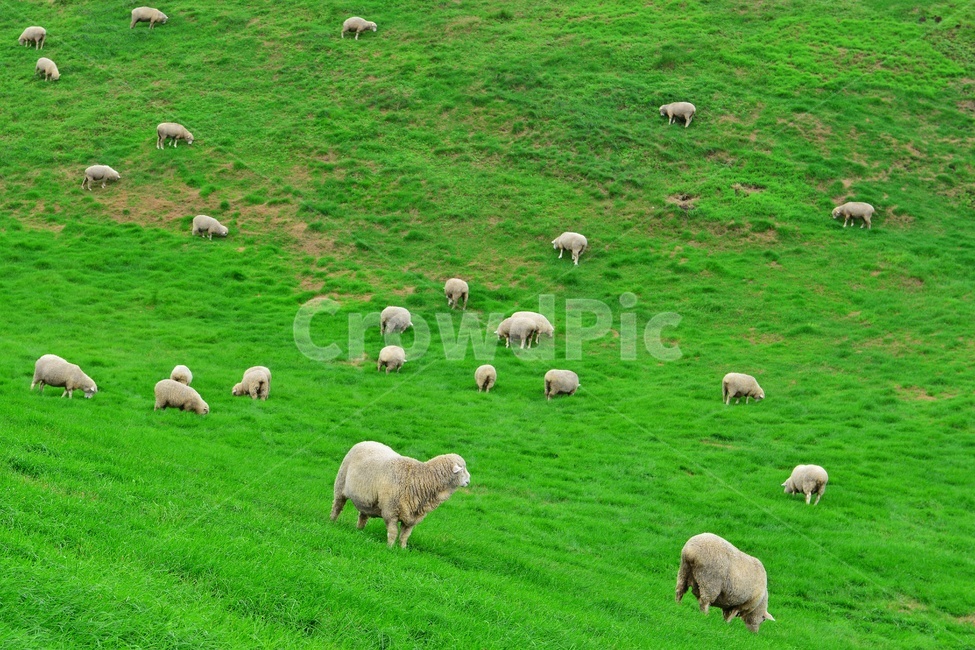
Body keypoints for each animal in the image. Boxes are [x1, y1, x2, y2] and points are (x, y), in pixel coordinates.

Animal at [330, 440, 470, 548]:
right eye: (462, 469)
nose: (469, 481)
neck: (421, 479)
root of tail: (365, 442)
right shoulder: (390, 511)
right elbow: (393, 532)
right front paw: (390, 547)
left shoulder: (412, 517)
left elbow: (405, 536)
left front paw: (402, 549)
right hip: (340, 484)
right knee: (337, 506)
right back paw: (332, 522)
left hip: (366, 500)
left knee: (363, 515)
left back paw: (359, 531)